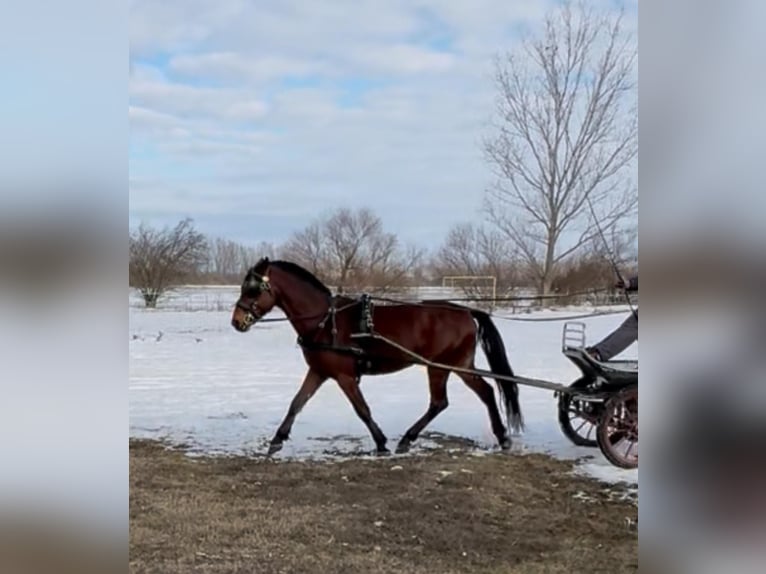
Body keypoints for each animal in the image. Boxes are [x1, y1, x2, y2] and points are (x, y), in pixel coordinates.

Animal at [230, 257, 524, 455]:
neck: (326, 321)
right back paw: (502, 437)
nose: (236, 321)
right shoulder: (319, 372)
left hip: (440, 366)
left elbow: (361, 409)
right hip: (460, 365)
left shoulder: (344, 376)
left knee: (440, 402)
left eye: (253, 288)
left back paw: (407, 439)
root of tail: (465, 311)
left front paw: (381, 443)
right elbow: (296, 403)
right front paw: (276, 440)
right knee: (485, 393)